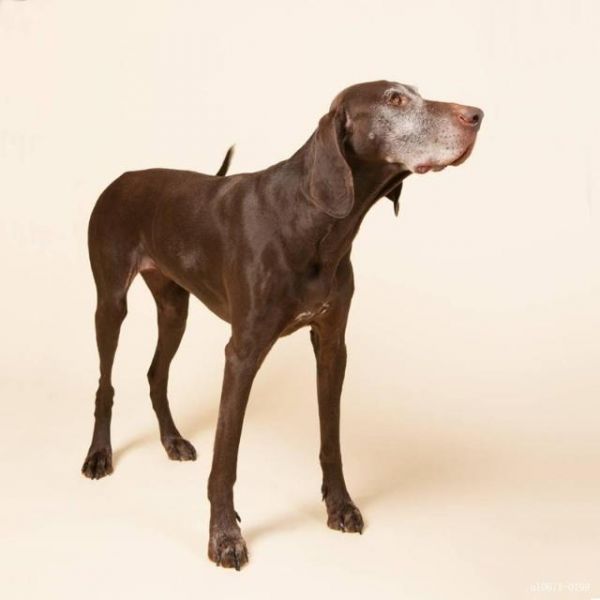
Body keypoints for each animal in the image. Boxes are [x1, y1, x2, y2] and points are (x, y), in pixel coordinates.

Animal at [82, 80, 483, 569]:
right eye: (394, 99)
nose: (477, 115)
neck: (315, 223)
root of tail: (122, 177)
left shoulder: (332, 345)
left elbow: (331, 439)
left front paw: (339, 506)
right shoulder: (243, 353)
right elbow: (226, 457)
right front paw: (225, 536)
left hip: (175, 309)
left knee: (156, 373)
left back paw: (172, 440)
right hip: (111, 303)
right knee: (106, 383)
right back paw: (99, 454)